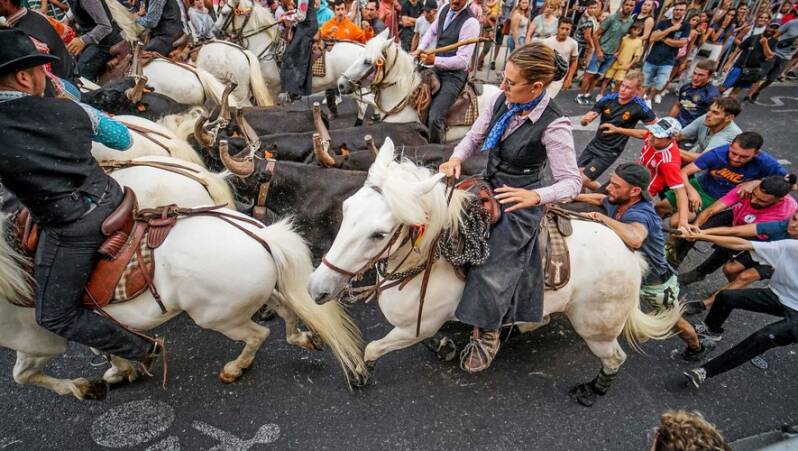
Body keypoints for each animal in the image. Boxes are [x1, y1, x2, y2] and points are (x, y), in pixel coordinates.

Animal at [0, 207, 366, 400]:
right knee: (287, 311)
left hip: (218, 317)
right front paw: (119, 370)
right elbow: (104, 343)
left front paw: (85, 386)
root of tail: (262, 235)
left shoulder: (39, 339)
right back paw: (303, 338)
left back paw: (235, 368)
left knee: (257, 335)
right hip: (260, 296)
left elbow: (22, 375)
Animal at [307, 139, 683, 405]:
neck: (430, 261)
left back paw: (592, 390)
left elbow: (373, 348)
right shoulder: (423, 324)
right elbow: (427, 339)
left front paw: (360, 372)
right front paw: (445, 346)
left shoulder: (416, 326)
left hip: (597, 329)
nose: (316, 289)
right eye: (346, 208)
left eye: (379, 234)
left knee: (614, 359)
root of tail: (631, 255)